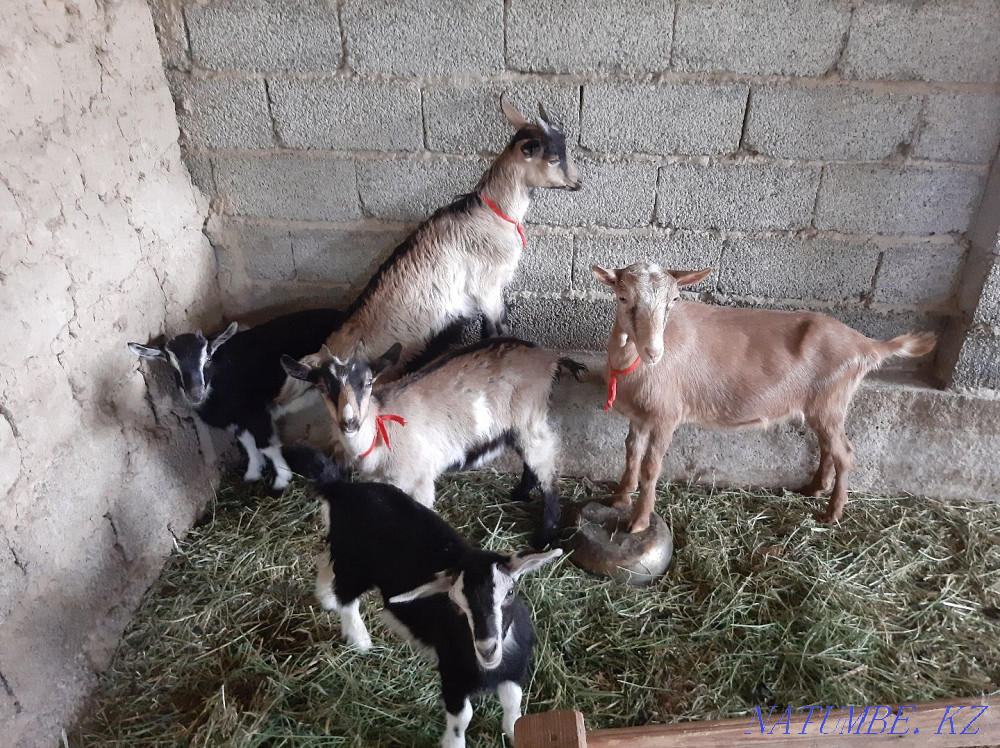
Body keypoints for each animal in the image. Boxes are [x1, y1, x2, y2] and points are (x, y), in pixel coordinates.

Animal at [128, 308, 344, 492]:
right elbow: (248, 443)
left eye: (208, 359)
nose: (195, 393)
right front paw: (253, 473)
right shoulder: (239, 419)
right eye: (173, 366)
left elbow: (266, 445)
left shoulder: (256, 413)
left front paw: (282, 479)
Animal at [278, 97, 582, 406]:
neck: (494, 213)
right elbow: (498, 330)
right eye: (553, 159)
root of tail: (320, 354)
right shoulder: (487, 286)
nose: (578, 182)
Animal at [281, 337, 585, 548]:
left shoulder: (420, 482)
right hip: (518, 426)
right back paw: (520, 494)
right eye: (322, 386)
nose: (350, 421)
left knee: (547, 471)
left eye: (367, 382)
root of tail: (551, 357)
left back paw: (544, 537)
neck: (381, 425)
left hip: (530, 419)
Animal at [284, 445, 562, 748]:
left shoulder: (515, 669)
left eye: (510, 592)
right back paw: (359, 639)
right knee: (347, 598)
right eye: (456, 605)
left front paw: (514, 731)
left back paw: (325, 597)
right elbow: (462, 717)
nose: (487, 648)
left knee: (325, 562)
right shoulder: (453, 675)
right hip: (355, 565)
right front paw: (453, 743)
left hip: (342, 553)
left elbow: (514, 702)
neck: (494, 666)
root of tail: (341, 489)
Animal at [592, 262, 937, 532]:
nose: (654, 352)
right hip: (822, 406)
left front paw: (638, 522)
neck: (632, 365)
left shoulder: (666, 415)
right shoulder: (639, 416)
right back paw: (815, 489)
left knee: (845, 454)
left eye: (674, 300)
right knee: (829, 446)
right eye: (623, 297)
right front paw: (620, 498)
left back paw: (832, 513)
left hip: (831, 401)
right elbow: (631, 452)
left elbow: (651, 466)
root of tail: (866, 345)